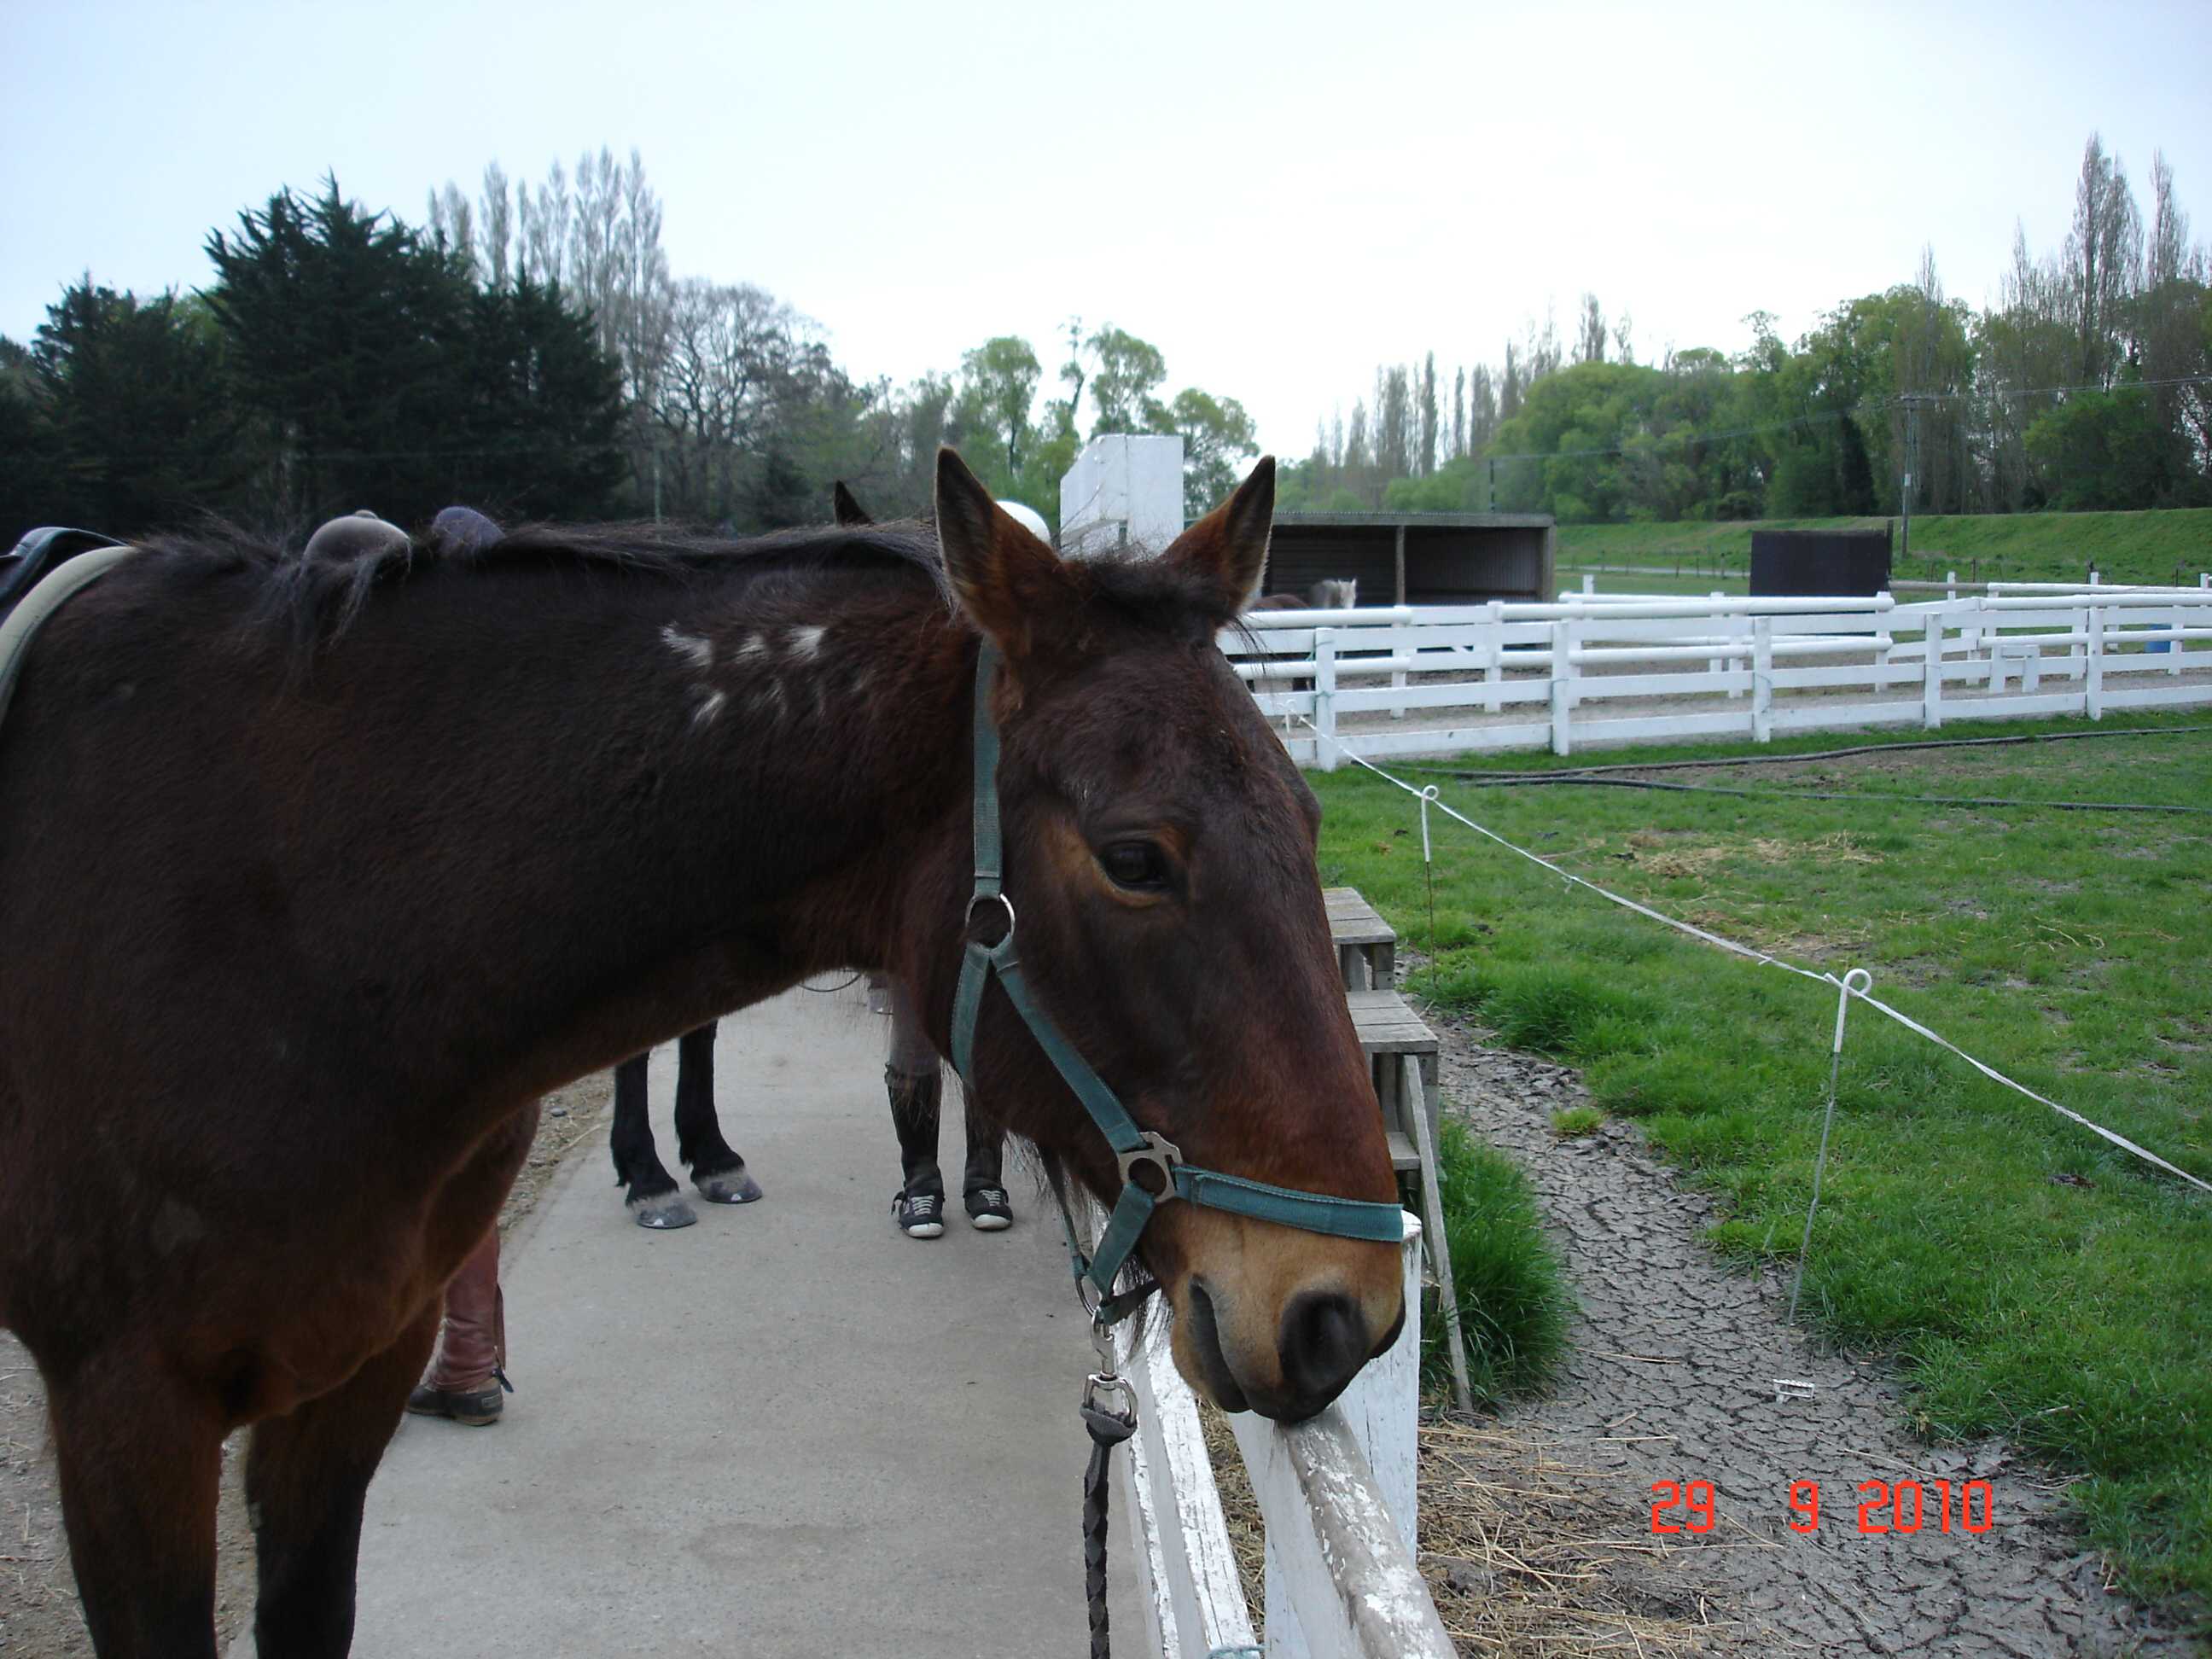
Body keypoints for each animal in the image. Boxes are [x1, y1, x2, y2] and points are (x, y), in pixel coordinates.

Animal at [0, 449, 1398, 1654]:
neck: (298, 916)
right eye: (1135, 858)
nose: (1348, 1313)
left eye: (1309, 814)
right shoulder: (129, 1414)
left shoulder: (356, 1371)